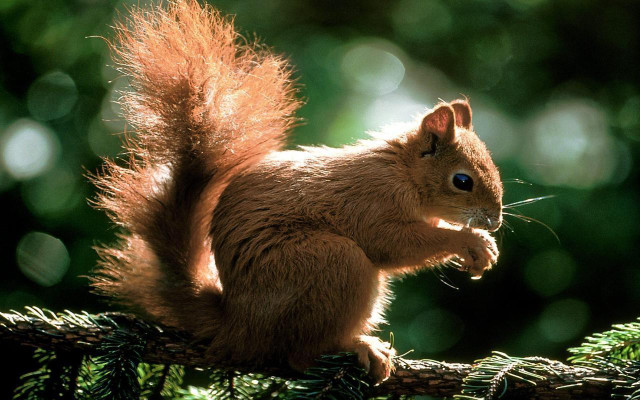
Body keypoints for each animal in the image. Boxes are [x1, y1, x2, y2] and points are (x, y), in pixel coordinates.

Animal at [91, 0, 503, 384]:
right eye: (462, 181)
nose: (496, 221)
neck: (402, 172)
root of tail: (239, 325)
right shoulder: (371, 202)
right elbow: (393, 244)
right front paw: (470, 242)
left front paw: (481, 247)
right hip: (329, 263)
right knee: (299, 354)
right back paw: (358, 346)